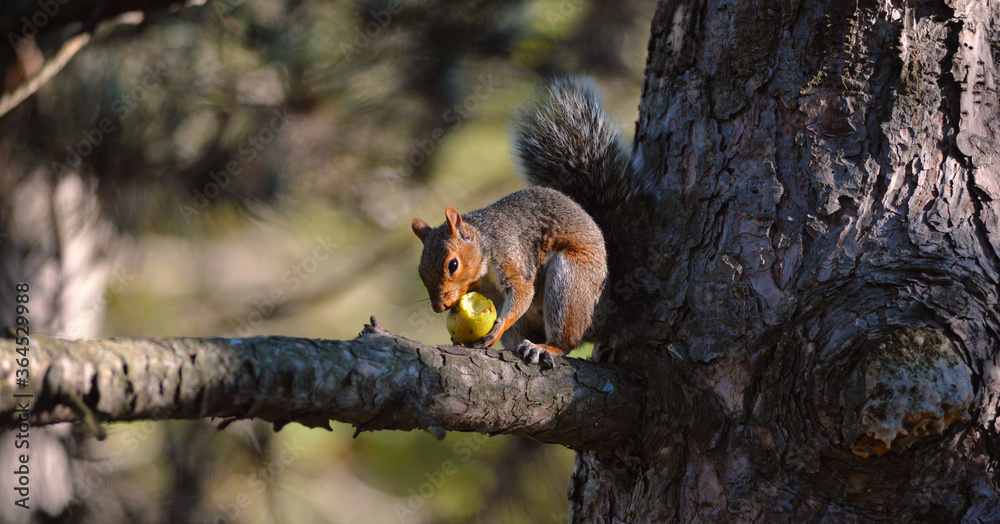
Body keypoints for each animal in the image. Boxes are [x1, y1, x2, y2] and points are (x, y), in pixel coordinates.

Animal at [410, 79, 652, 368]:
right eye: (420, 272)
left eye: (453, 265)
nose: (439, 307)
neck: (485, 245)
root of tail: (605, 312)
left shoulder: (513, 257)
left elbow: (522, 291)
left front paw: (498, 326)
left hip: (571, 282)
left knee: (567, 341)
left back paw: (545, 347)